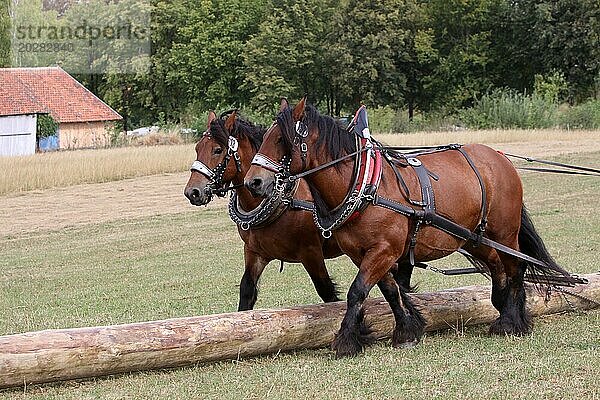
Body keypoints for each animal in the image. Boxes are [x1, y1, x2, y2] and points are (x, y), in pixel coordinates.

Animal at [246, 98, 576, 358]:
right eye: (265, 137)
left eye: (281, 139)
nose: (254, 182)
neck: (365, 185)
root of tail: (501, 159)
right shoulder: (368, 254)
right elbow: (390, 291)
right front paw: (407, 331)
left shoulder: (383, 250)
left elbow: (357, 291)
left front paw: (347, 341)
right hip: (475, 237)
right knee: (497, 266)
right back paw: (503, 305)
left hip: (504, 232)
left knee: (516, 267)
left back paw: (511, 322)